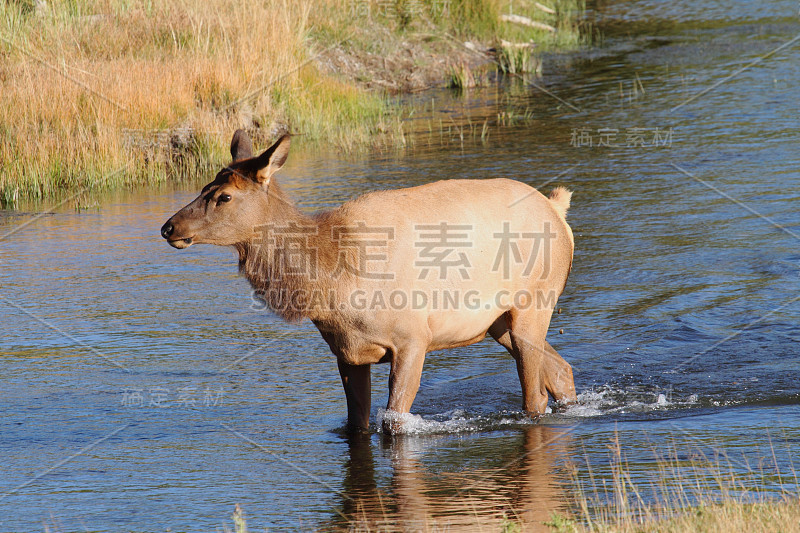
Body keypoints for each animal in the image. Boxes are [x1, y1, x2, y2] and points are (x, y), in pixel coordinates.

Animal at [161, 129, 576, 432]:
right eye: (203, 187)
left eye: (225, 197)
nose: (169, 227)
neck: (330, 285)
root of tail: (557, 208)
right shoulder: (347, 352)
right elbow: (356, 426)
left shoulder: (413, 338)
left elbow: (393, 423)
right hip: (497, 323)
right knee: (560, 371)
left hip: (533, 305)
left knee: (535, 397)